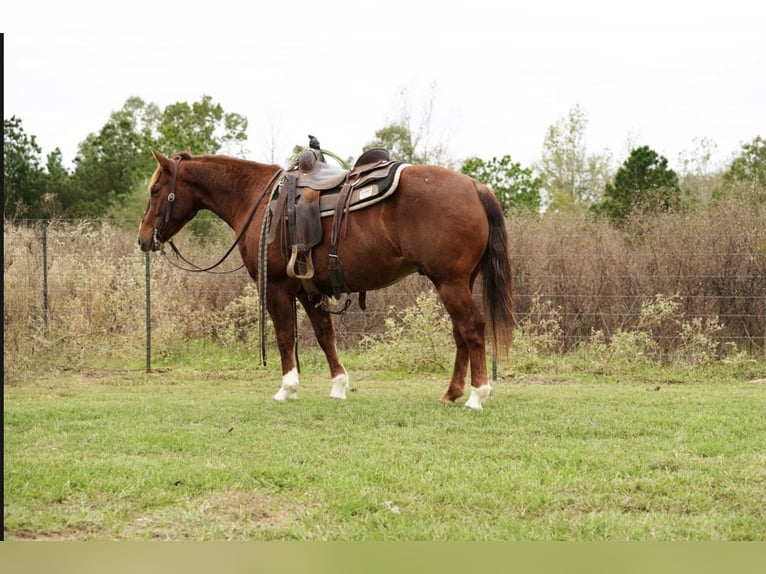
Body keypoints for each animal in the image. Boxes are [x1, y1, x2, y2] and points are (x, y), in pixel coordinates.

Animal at [136, 148, 516, 410]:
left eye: (155, 191)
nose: (143, 239)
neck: (260, 200)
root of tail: (475, 186)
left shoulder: (276, 288)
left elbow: (285, 336)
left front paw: (287, 388)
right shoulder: (309, 290)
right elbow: (325, 336)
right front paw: (338, 386)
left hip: (450, 282)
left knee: (471, 328)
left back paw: (477, 395)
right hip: (459, 282)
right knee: (460, 334)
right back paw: (452, 393)